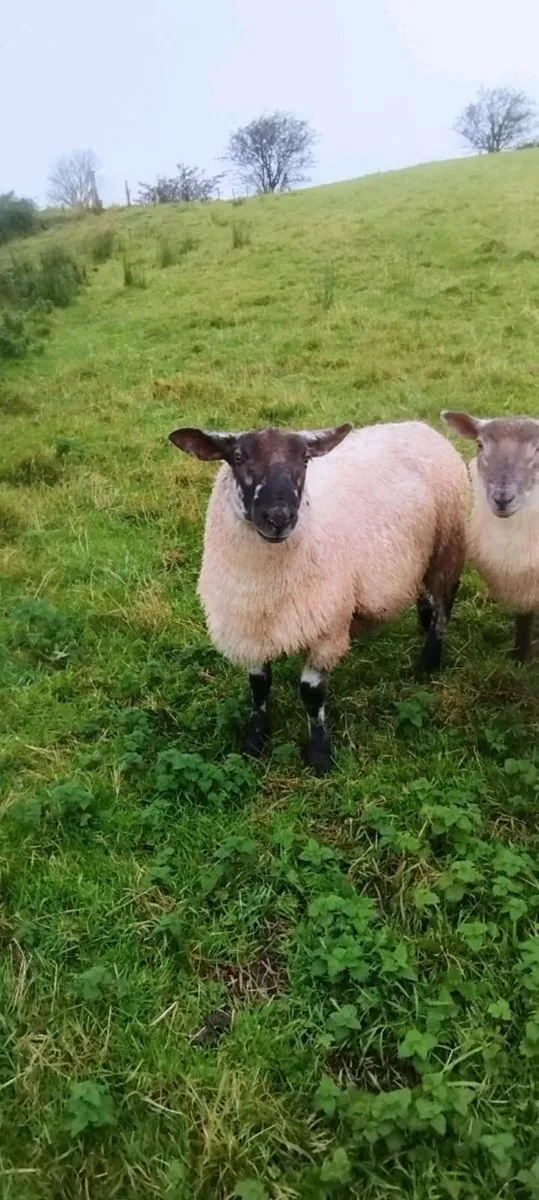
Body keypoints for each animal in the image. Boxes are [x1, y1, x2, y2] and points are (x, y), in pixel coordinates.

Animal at [169, 421, 469, 773]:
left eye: (304, 460)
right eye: (238, 457)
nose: (279, 517)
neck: (264, 588)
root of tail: (419, 425)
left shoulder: (326, 628)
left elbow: (311, 695)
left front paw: (319, 753)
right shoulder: (250, 628)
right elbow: (259, 686)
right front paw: (255, 740)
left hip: (447, 546)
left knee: (445, 601)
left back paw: (429, 660)